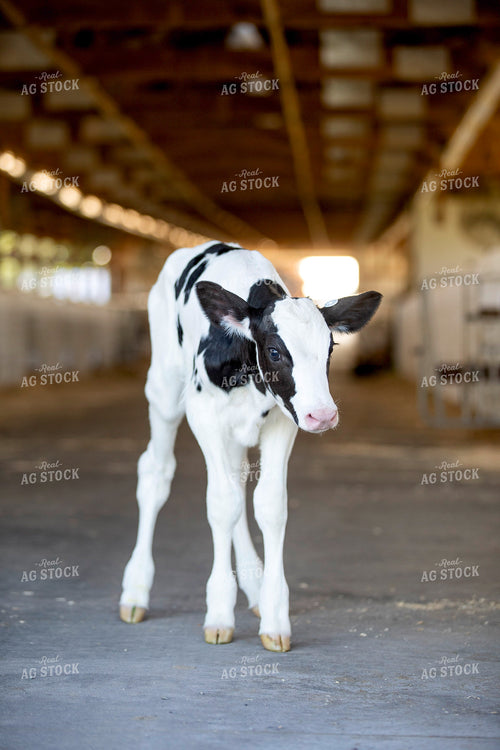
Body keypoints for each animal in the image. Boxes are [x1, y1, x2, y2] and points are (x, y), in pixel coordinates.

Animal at [120, 241, 382, 652]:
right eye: (274, 351)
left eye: (330, 348)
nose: (322, 415)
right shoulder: (203, 412)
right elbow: (220, 503)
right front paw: (218, 614)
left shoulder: (282, 419)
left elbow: (269, 505)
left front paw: (274, 617)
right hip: (163, 389)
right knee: (156, 474)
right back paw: (135, 593)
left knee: (237, 481)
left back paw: (254, 586)